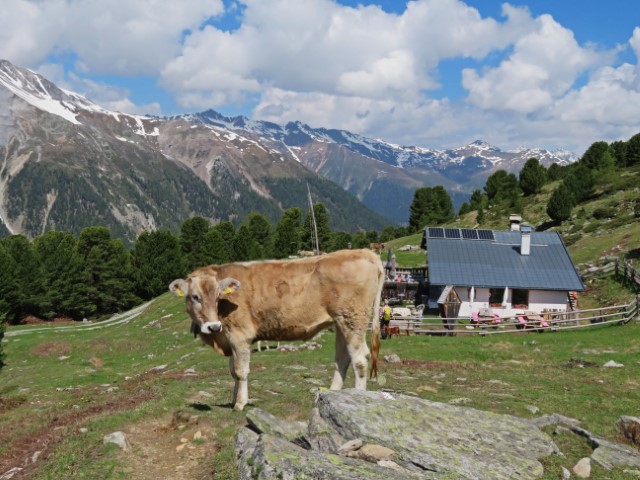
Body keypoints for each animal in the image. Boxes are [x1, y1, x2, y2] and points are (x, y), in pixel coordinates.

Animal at [168, 249, 382, 410]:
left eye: (218, 296)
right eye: (195, 297)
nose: (213, 326)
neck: (219, 339)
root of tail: (364, 252)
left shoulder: (240, 335)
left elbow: (240, 371)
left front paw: (240, 403)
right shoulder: (229, 336)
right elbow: (232, 370)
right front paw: (233, 399)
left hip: (354, 318)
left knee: (359, 359)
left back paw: (359, 396)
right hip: (340, 321)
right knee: (342, 358)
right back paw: (332, 393)